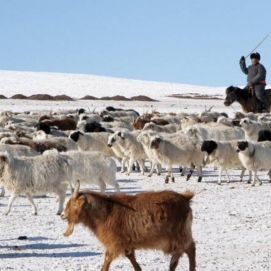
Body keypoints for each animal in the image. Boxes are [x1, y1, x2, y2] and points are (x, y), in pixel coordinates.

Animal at [61, 181, 197, 271]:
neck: (106, 212)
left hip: (179, 235)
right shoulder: (127, 243)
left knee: (189, 249)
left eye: (74, 204)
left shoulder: (114, 243)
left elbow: (107, 259)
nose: (62, 215)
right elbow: (131, 258)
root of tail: (185, 198)